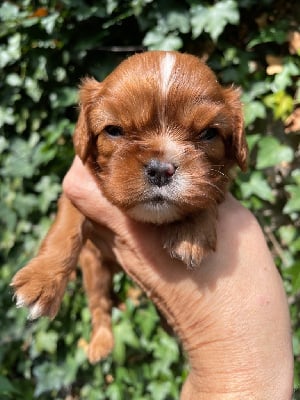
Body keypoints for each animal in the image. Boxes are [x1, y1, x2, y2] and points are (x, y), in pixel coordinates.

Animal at [10, 50, 247, 362]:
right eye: (114, 130)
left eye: (209, 134)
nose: (161, 169)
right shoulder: (76, 190)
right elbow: (64, 230)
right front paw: (41, 280)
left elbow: (209, 191)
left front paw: (191, 232)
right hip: (94, 267)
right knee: (99, 304)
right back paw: (101, 342)